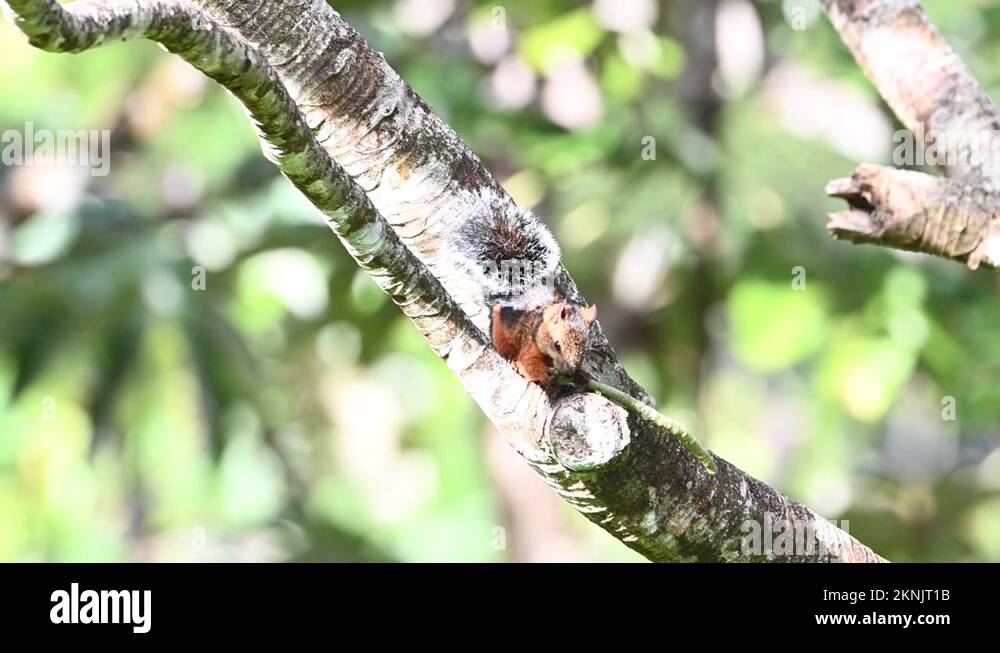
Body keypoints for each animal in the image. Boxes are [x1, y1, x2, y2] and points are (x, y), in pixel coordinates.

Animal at [446, 187, 596, 388]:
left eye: (586, 350)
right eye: (557, 345)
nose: (569, 372)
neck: (541, 324)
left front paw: (584, 375)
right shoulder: (529, 343)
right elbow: (529, 362)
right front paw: (541, 374)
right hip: (499, 331)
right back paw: (512, 361)